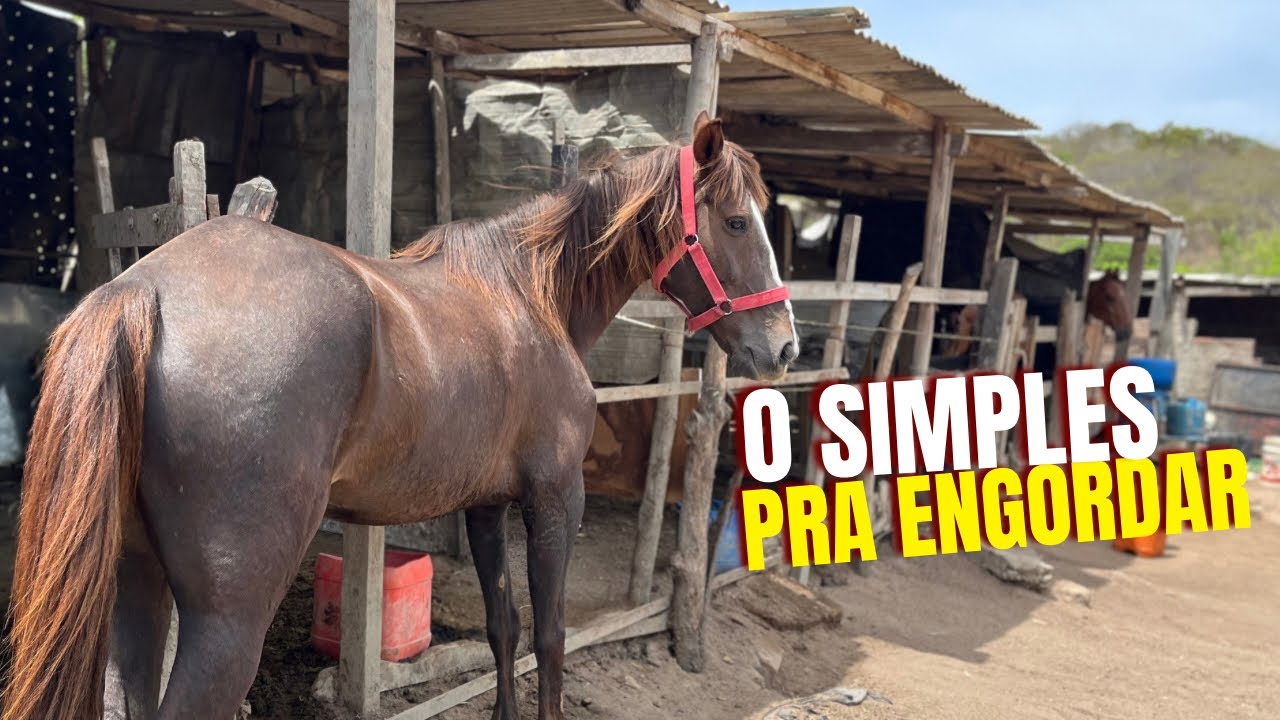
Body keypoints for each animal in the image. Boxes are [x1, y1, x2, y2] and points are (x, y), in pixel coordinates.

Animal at [4, 113, 798, 720]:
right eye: (736, 221)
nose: (783, 346)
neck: (531, 298)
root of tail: (144, 290)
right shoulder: (554, 497)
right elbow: (550, 636)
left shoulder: (486, 505)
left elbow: (504, 627)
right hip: (227, 619)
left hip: (135, 580)